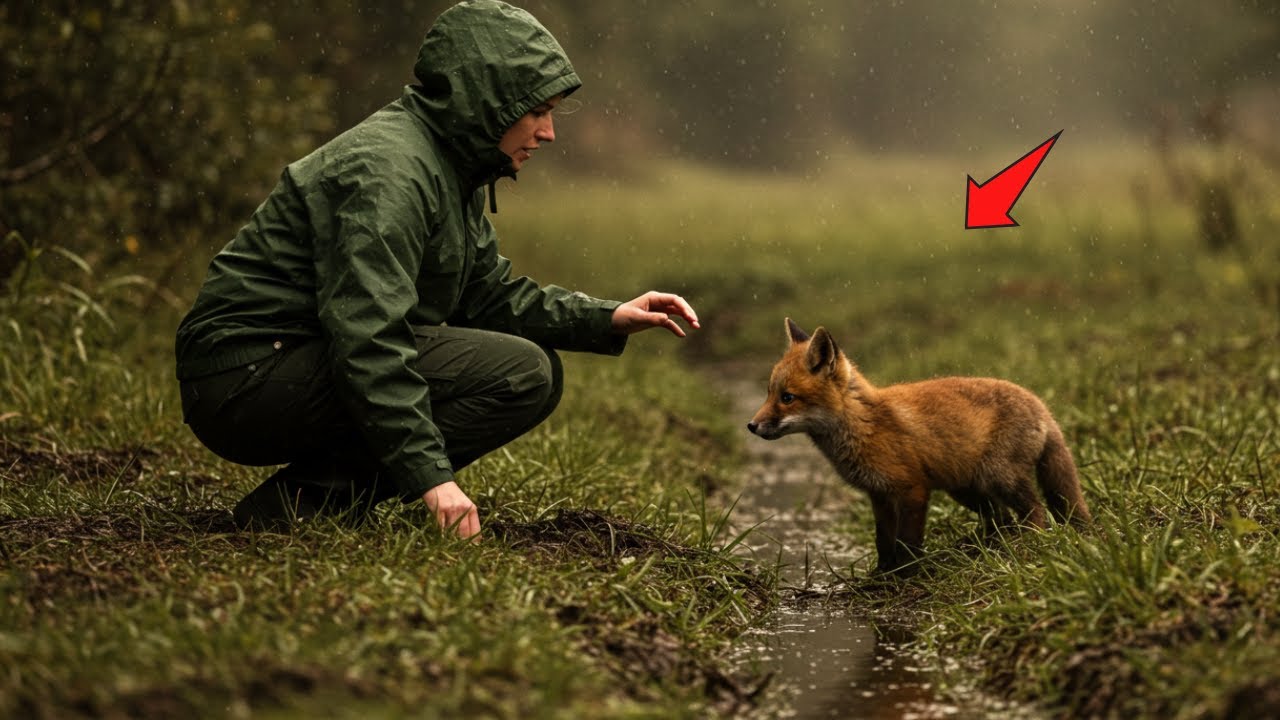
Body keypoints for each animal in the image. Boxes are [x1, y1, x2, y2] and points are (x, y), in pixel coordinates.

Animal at [747, 318, 1090, 575]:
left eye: (787, 398)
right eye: (769, 393)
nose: (751, 426)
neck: (865, 426)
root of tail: (1041, 405)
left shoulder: (912, 489)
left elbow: (908, 542)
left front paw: (907, 575)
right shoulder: (879, 495)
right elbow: (883, 540)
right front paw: (881, 574)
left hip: (999, 478)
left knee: (1034, 509)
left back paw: (1027, 545)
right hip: (965, 489)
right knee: (1000, 517)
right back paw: (984, 548)